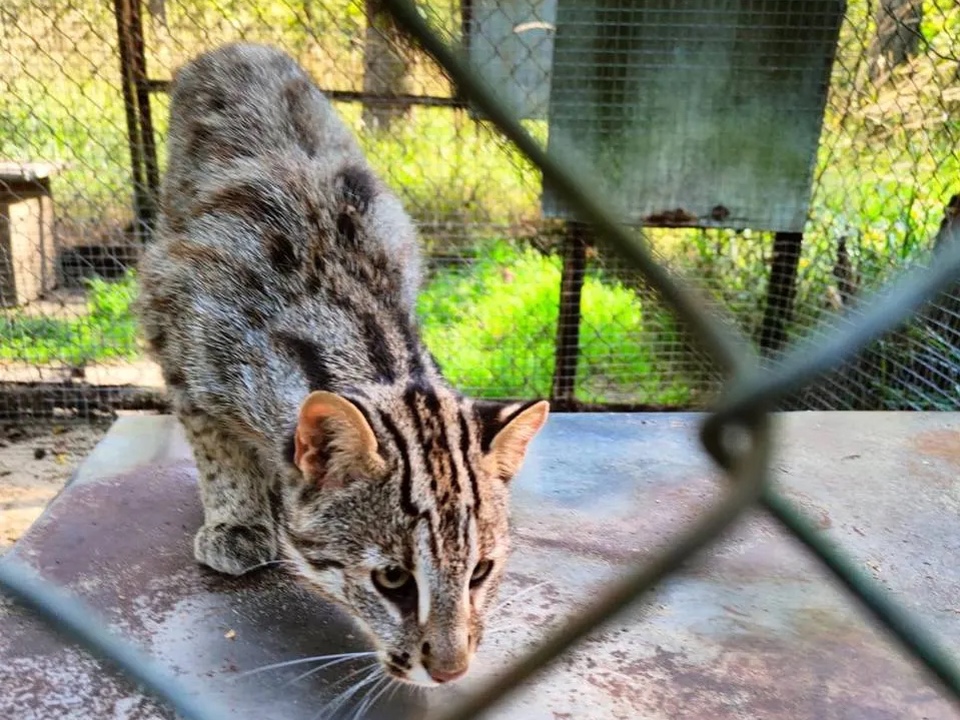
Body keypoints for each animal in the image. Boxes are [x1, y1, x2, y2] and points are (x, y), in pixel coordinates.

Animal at [138, 43, 552, 688]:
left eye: (480, 573)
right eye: (392, 579)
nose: (452, 670)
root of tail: (240, 47)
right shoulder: (173, 324)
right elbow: (216, 450)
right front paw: (237, 519)